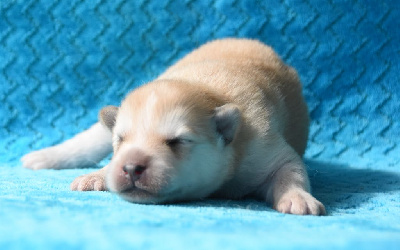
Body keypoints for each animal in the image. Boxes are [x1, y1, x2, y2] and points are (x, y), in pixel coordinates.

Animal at [21, 38, 326, 215]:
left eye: (177, 142)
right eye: (121, 140)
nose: (129, 167)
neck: (205, 90)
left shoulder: (263, 146)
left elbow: (289, 170)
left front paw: (298, 198)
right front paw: (99, 174)